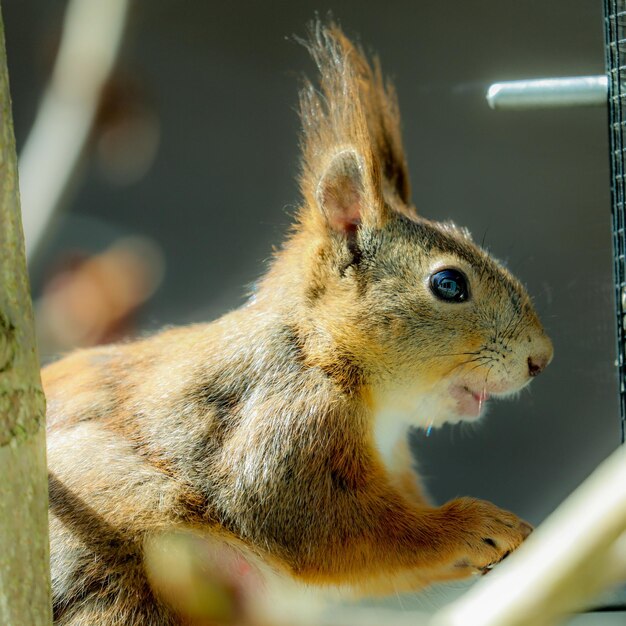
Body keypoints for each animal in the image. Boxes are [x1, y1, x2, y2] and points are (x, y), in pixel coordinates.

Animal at [44, 19, 552, 624]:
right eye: (449, 284)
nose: (541, 358)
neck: (323, 353)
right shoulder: (282, 420)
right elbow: (328, 530)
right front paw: (472, 525)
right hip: (109, 568)